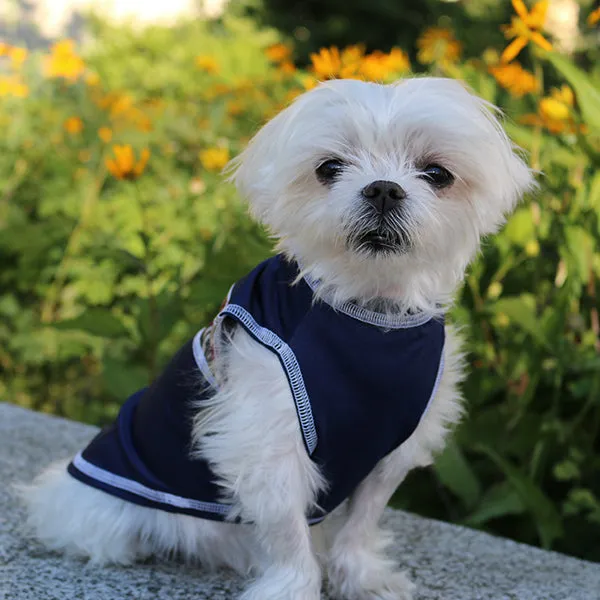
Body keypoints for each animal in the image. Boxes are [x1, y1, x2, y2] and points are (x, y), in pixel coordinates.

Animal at [22, 78, 536, 600]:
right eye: (329, 168)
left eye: (436, 173)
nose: (384, 189)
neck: (368, 313)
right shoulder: (270, 443)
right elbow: (288, 534)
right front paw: (293, 587)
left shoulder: (392, 450)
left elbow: (363, 520)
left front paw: (361, 576)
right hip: (107, 508)